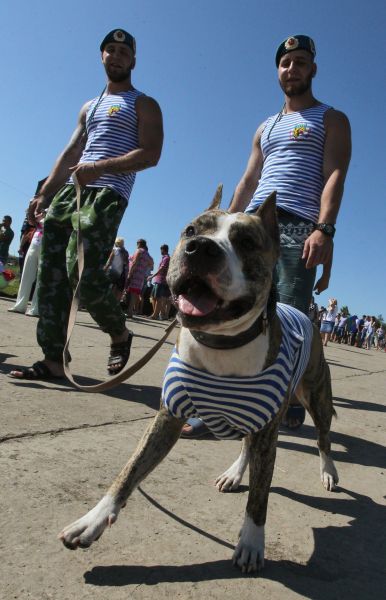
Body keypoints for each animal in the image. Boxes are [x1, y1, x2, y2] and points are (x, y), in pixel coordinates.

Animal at [59, 190, 338, 576]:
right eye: (191, 231)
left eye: (246, 241)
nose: (201, 248)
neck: (221, 342)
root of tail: (304, 313)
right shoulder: (168, 418)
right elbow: (130, 470)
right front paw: (94, 519)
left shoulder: (269, 428)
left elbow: (260, 496)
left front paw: (252, 541)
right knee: (246, 447)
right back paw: (234, 473)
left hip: (314, 395)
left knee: (323, 438)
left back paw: (328, 471)